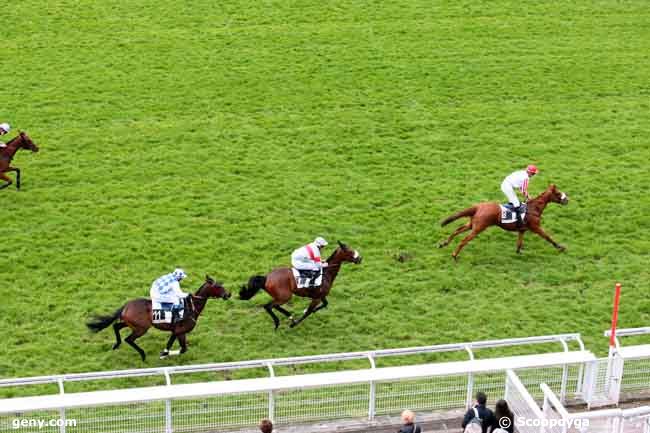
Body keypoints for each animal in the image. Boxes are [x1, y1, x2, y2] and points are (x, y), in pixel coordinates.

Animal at [85, 276, 229, 360]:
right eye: (218, 286)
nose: (228, 294)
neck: (191, 307)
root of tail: (126, 305)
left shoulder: (179, 332)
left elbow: (181, 348)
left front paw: (165, 353)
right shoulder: (179, 330)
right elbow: (176, 346)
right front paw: (163, 354)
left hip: (131, 323)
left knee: (116, 326)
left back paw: (116, 344)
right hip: (142, 328)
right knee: (129, 339)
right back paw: (143, 355)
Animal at [436, 183, 568, 258]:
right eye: (558, 193)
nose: (567, 200)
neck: (534, 208)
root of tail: (478, 206)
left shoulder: (522, 230)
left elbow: (519, 243)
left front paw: (519, 252)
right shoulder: (536, 227)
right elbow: (548, 237)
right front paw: (560, 247)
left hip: (472, 224)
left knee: (457, 230)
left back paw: (444, 243)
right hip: (479, 227)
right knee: (464, 240)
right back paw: (454, 255)